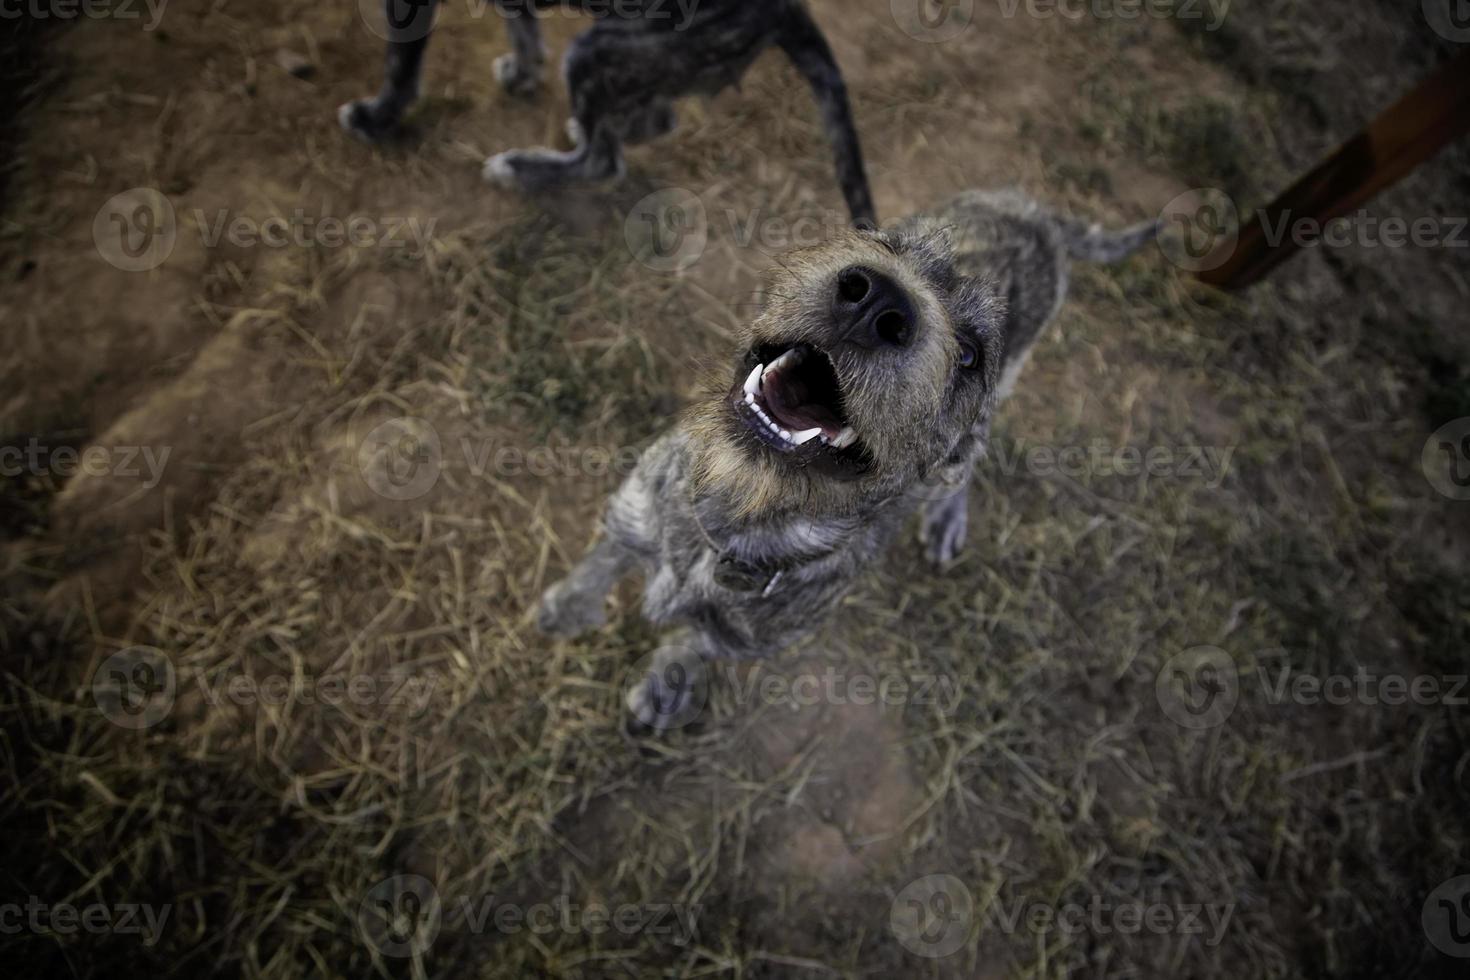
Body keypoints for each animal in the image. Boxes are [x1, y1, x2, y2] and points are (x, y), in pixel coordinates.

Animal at [338, 0, 876, 224]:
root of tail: (788, 10)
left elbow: (400, 66)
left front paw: (376, 118)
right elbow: (521, 27)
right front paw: (522, 72)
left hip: (596, 50)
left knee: (604, 161)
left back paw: (522, 168)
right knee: (649, 122)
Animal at [540, 191, 1158, 728]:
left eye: (969, 355)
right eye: (885, 246)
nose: (878, 300)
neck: (734, 520)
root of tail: (1035, 213)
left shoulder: (739, 637)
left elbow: (692, 644)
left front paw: (666, 685)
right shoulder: (636, 509)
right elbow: (603, 559)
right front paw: (565, 607)